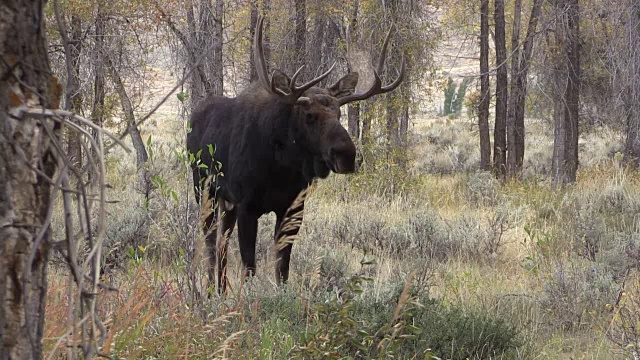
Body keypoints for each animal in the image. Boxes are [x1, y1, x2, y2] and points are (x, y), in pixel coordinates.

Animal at [188, 17, 402, 292]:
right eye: (309, 115)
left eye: (339, 113)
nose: (346, 155)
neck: (281, 168)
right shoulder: (247, 206)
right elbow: (250, 267)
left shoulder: (293, 208)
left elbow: (282, 268)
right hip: (205, 191)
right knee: (211, 242)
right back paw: (209, 292)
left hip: (226, 202)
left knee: (222, 242)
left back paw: (221, 290)